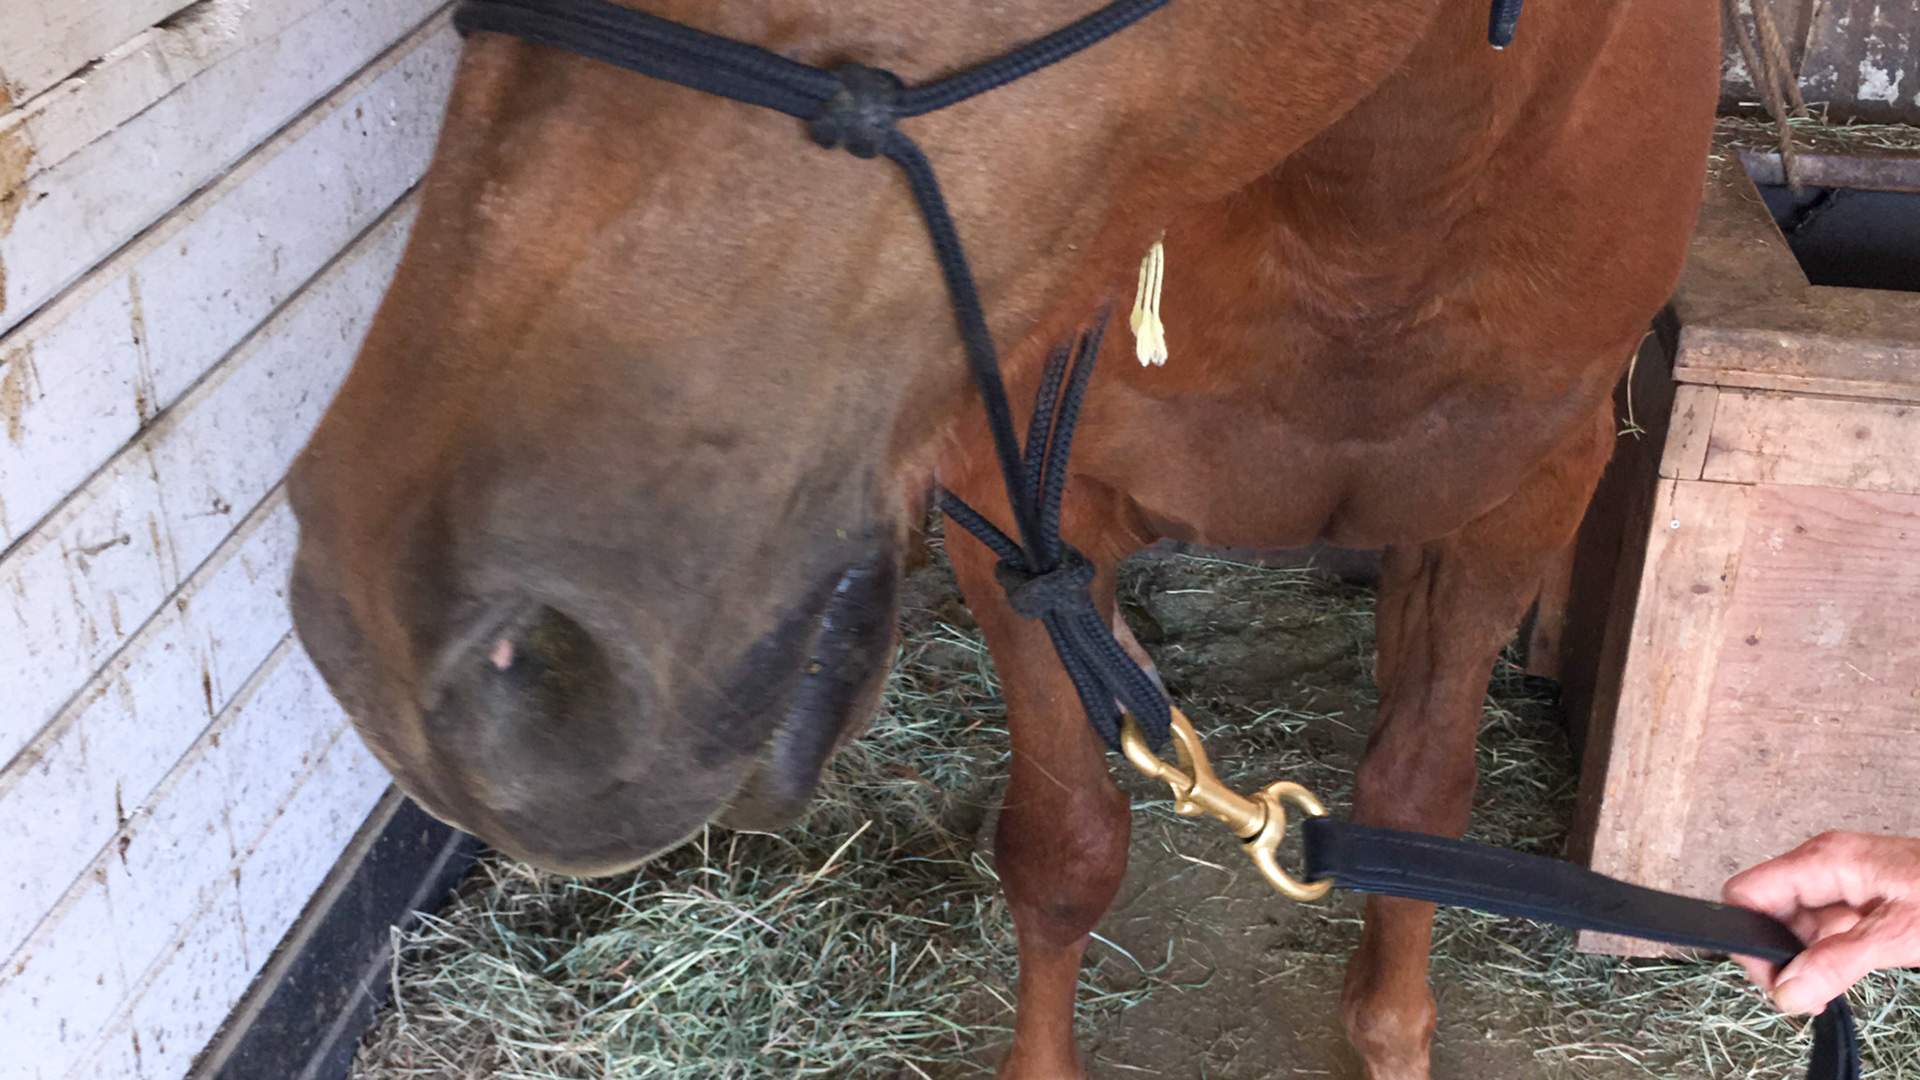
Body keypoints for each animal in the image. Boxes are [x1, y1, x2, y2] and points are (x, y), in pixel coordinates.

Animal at [285, 0, 1719, 1075]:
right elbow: (1066, 852)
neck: (1371, 225)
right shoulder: (1023, 523)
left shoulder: (1516, 512)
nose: (392, 627)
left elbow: (1416, 810)